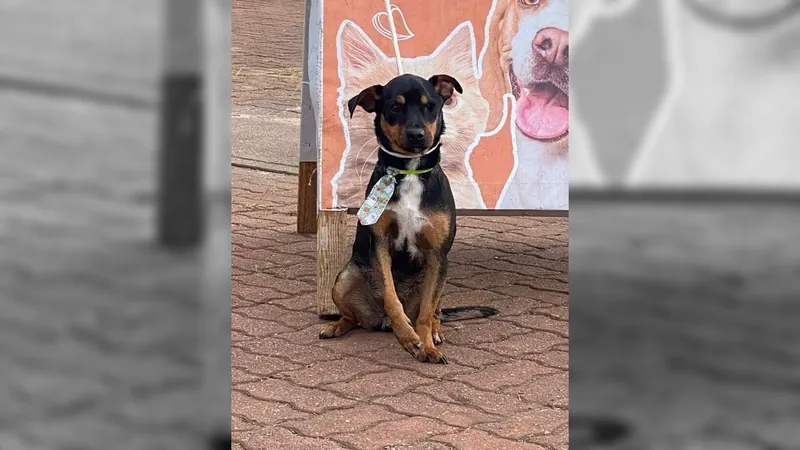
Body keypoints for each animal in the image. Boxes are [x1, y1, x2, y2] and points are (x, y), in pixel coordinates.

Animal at [318, 73, 494, 362]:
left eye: (430, 106)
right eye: (394, 107)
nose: (416, 135)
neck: (410, 171)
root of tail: (378, 320)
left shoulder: (437, 255)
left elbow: (425, 312)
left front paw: (427, 346)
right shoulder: (380, 245)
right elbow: (391, 298)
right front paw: (408, 338)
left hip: (437, 279)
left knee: (436, 312)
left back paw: (435, 331)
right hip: (344, 279)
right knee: (352, 317)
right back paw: (336, 326)